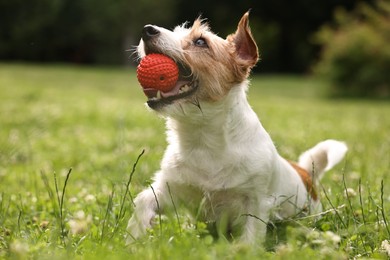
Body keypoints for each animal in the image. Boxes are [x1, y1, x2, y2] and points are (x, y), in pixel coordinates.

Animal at [127, 11, 348, 244]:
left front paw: (241, 248)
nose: (147, 29)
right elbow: (144, 202)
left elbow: (250, 237)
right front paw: (135, 237)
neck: (202, 139)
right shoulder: (170, 189)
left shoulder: (255, 202)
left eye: (200, 41)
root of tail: (305, 173)